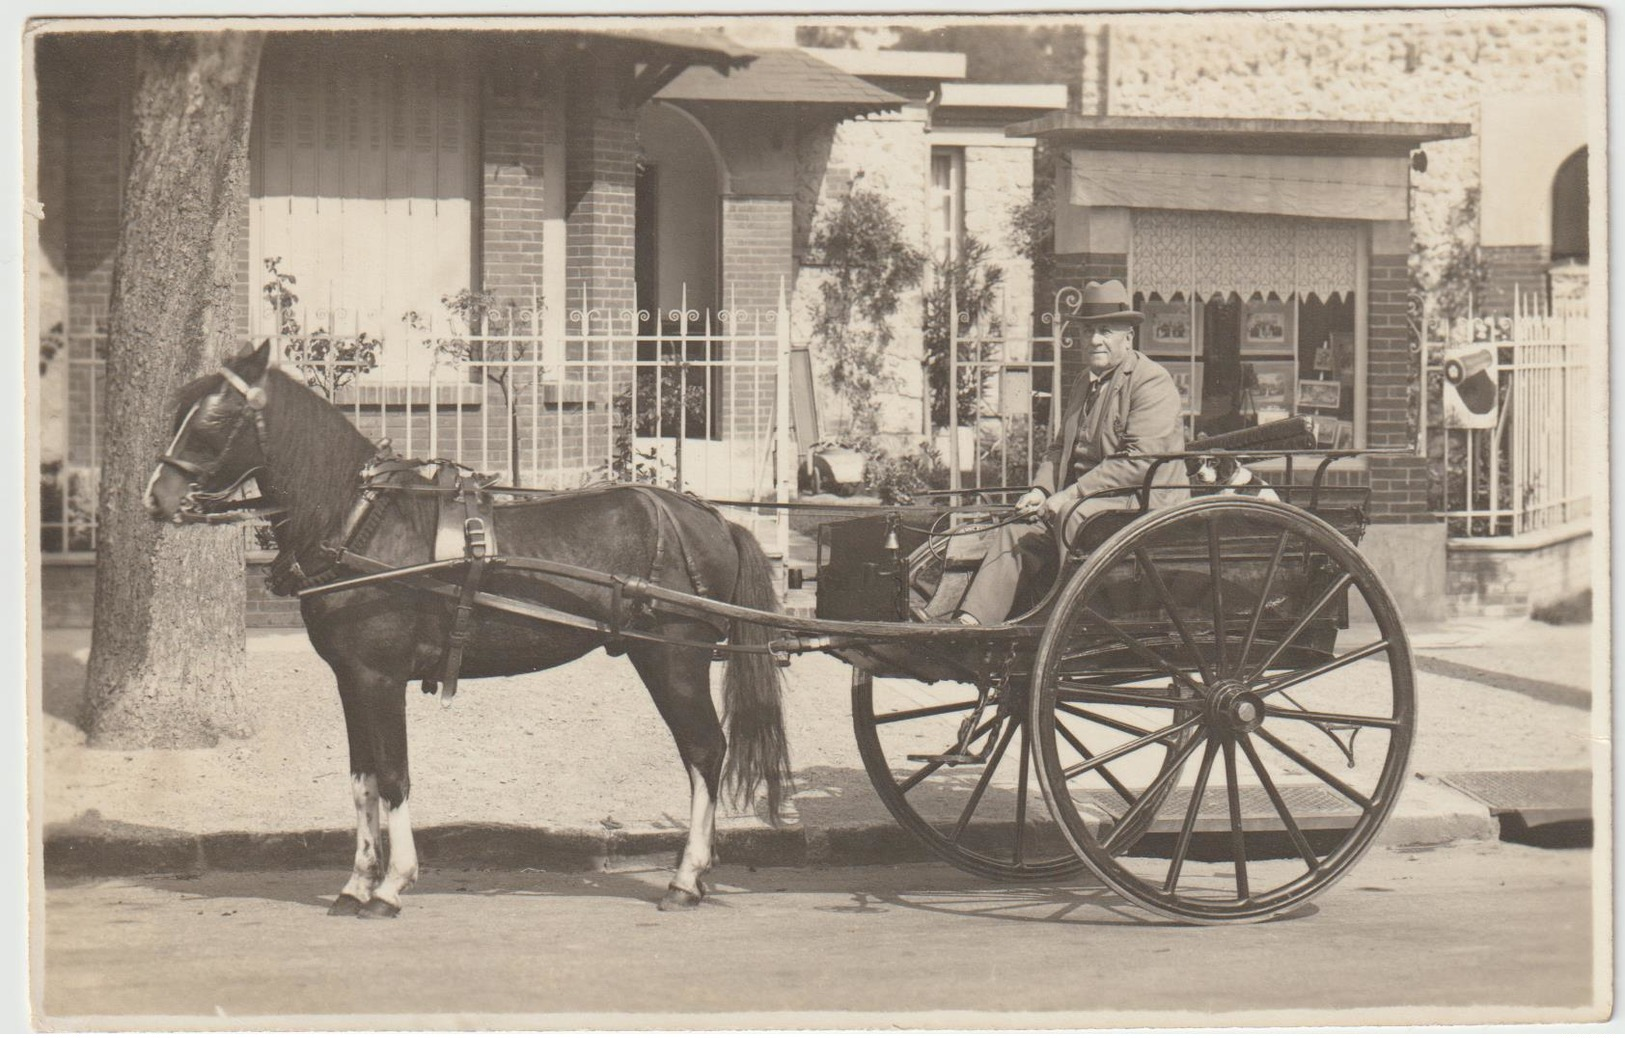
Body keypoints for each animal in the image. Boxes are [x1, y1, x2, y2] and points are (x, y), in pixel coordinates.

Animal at [146, 341, 793, 916]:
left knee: (705, 752)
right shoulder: (352, 680)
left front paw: (391, 886)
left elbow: (394, 777)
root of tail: (709, 519)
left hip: (674, 660)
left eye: (214, 419)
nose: (157, 498)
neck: (364, 523)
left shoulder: (380, 679)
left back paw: (686, 879)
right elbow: (361, 782)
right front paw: (355, 884)